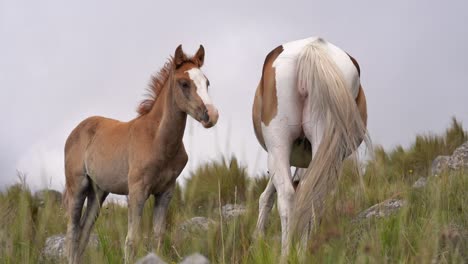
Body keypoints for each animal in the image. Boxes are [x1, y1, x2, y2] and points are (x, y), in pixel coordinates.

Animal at [63, 45, 218, 264]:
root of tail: (75, 131)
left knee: (84, 232)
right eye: (184, 83)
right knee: (73, 233)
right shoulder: (137, 190)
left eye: (207, 82)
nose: (211, 115)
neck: (158, 140)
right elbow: (132, 240)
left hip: (98, 191)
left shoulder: (166, 192)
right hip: (77, 186)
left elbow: (158, 237)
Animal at [252, 37, 370, 258]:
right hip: (322, 142)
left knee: (290, 196)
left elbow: (267, 197)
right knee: (309, 194)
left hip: (279, 143)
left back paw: (288, 254)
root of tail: (311, 48)